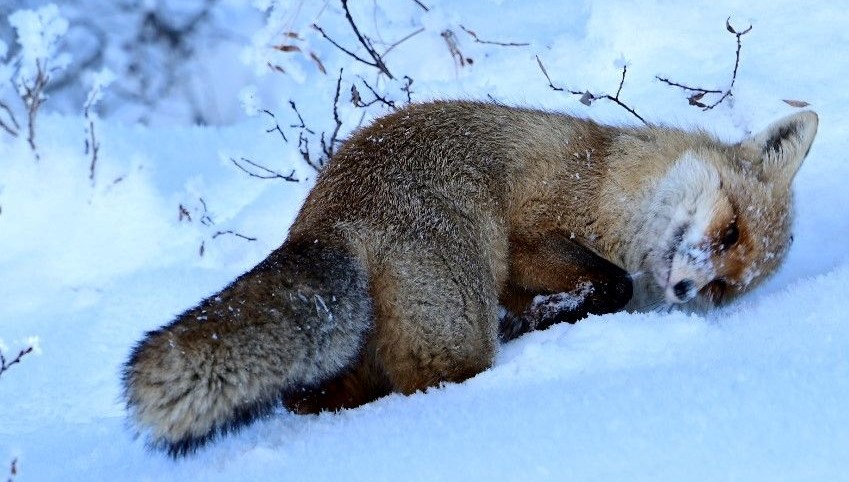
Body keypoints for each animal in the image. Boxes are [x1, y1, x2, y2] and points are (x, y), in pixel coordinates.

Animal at [121, 100, 816, 454]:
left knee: (319, 394)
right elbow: (608, 282)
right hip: (459, 327)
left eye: (726, 286)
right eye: (729, 233)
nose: (687, 290)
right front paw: (551, 315)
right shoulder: (533, 226)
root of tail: (327, 216)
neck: (613, 186)